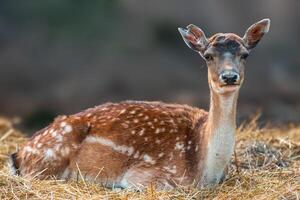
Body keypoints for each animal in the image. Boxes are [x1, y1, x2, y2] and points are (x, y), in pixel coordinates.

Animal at [8, 18, 270, 189]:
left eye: (245, 55)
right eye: (208, 56)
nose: (229, 76)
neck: (204, 169)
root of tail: (19, 153)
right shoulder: (148, 175)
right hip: (48, 161)